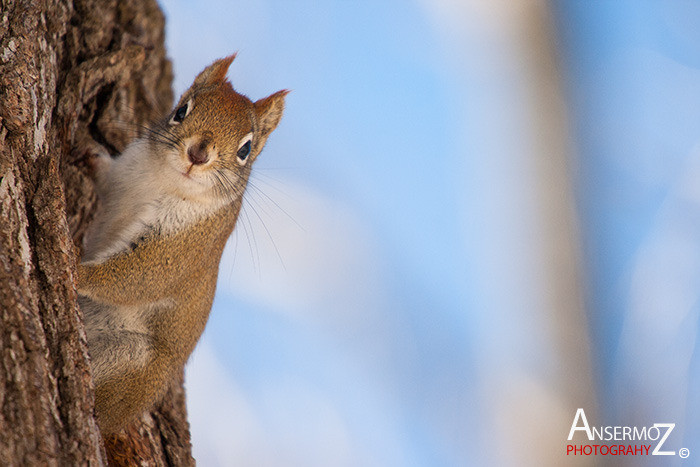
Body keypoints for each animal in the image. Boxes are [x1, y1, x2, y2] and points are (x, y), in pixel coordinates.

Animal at [76, 55, 284, 436]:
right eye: (181, 110)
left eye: (246, 149)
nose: (198, 153)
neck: (163, 180)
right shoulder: (122, 175)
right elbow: (105, 175)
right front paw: (87, 153)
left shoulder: (188, 244)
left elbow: (142, 275)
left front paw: (76, 271)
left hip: (132, 364)